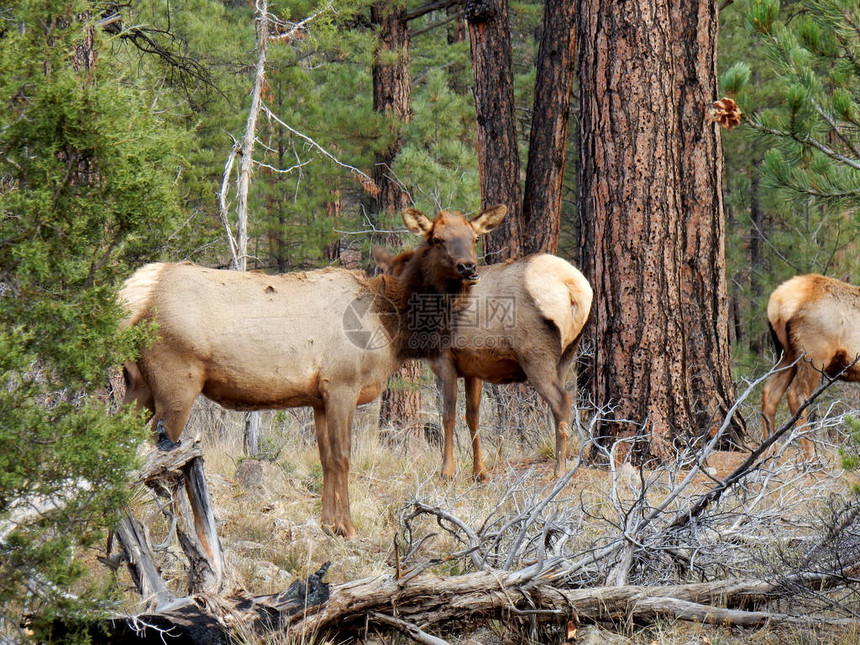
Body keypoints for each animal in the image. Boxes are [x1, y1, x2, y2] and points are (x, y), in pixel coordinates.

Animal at [122, 204, 510, 536]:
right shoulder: (341, 385)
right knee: (161, 462)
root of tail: (133, 293)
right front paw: (348, 528)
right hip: (176, 381)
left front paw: (328, 525)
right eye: (436, 239)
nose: (468, 268)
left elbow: (325, 459)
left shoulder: (318, 397)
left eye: (474, 238)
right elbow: (342, 457)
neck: (390, 327)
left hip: (137, 385)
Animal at [372, 250, 596, 478]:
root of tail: (575, 288)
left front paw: (447, 471)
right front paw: (479, 472)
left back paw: (559, 470)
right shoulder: (473, 369)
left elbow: (448, 415)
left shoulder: (445, 361)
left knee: (562, 401)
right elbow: (472, 417)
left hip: (536, 355)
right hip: (567, 354)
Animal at [764, 274, 856, 456]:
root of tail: (777, 304)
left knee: (770, 393)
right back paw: (811, 456)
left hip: (787, 354)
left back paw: (767, 453)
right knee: (797, 395)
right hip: (814, 355)